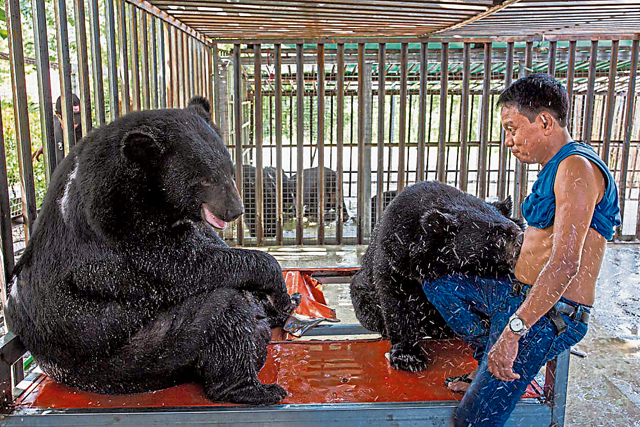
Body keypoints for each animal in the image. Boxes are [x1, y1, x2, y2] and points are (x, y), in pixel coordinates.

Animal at [5, 96, 300, 404]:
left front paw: (278, 299)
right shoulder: (113, 216)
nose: (235, 210)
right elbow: (178, 263)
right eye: (206, 179)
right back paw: (252, 388)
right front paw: (276, 286)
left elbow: (203, 241)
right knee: (224, 312)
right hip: (138, 357)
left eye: (230, 171)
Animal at [350, 182, 524, 372]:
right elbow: (398, 300)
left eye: (514, 228)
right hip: (362, 291)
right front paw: (409, 357)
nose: (522, 240)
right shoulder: (395, 256)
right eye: (499, 236)